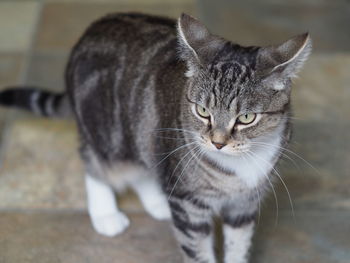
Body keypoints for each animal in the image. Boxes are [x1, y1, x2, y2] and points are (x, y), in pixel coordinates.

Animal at [0, 12, 312, 263]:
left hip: (144, 135)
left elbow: (239, 246)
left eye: (246, 117)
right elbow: (197, 249)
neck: (239, 168)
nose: (218, 142)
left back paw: (158, 201)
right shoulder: (189, 203)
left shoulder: (245, 204)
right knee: (96, 163)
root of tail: (87, 33)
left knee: (144, 164)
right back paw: (106, 214)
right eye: (202, 111)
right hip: (107, 131)